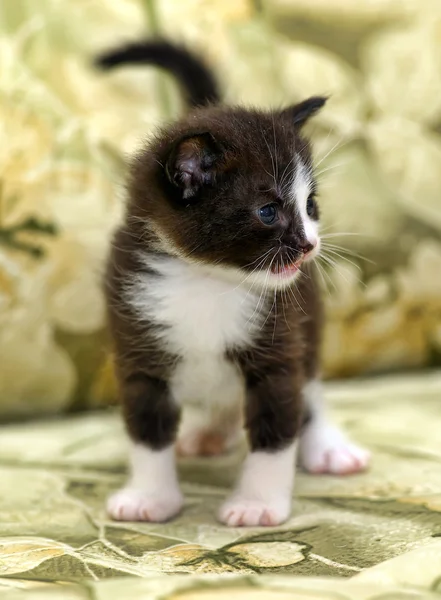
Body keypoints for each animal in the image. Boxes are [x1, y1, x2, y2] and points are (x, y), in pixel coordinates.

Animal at [98, 39, 370, 524]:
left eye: (311, 205)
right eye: (268, 211)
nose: (310, 245)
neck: (207, 281)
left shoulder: (280, 346)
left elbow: (277, 430)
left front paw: (257, 504)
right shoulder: (136, 341)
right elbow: (147, 431)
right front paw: (150, 497)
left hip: (310, 322)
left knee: (311, 389)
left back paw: (327, 446)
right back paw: (210, 432)